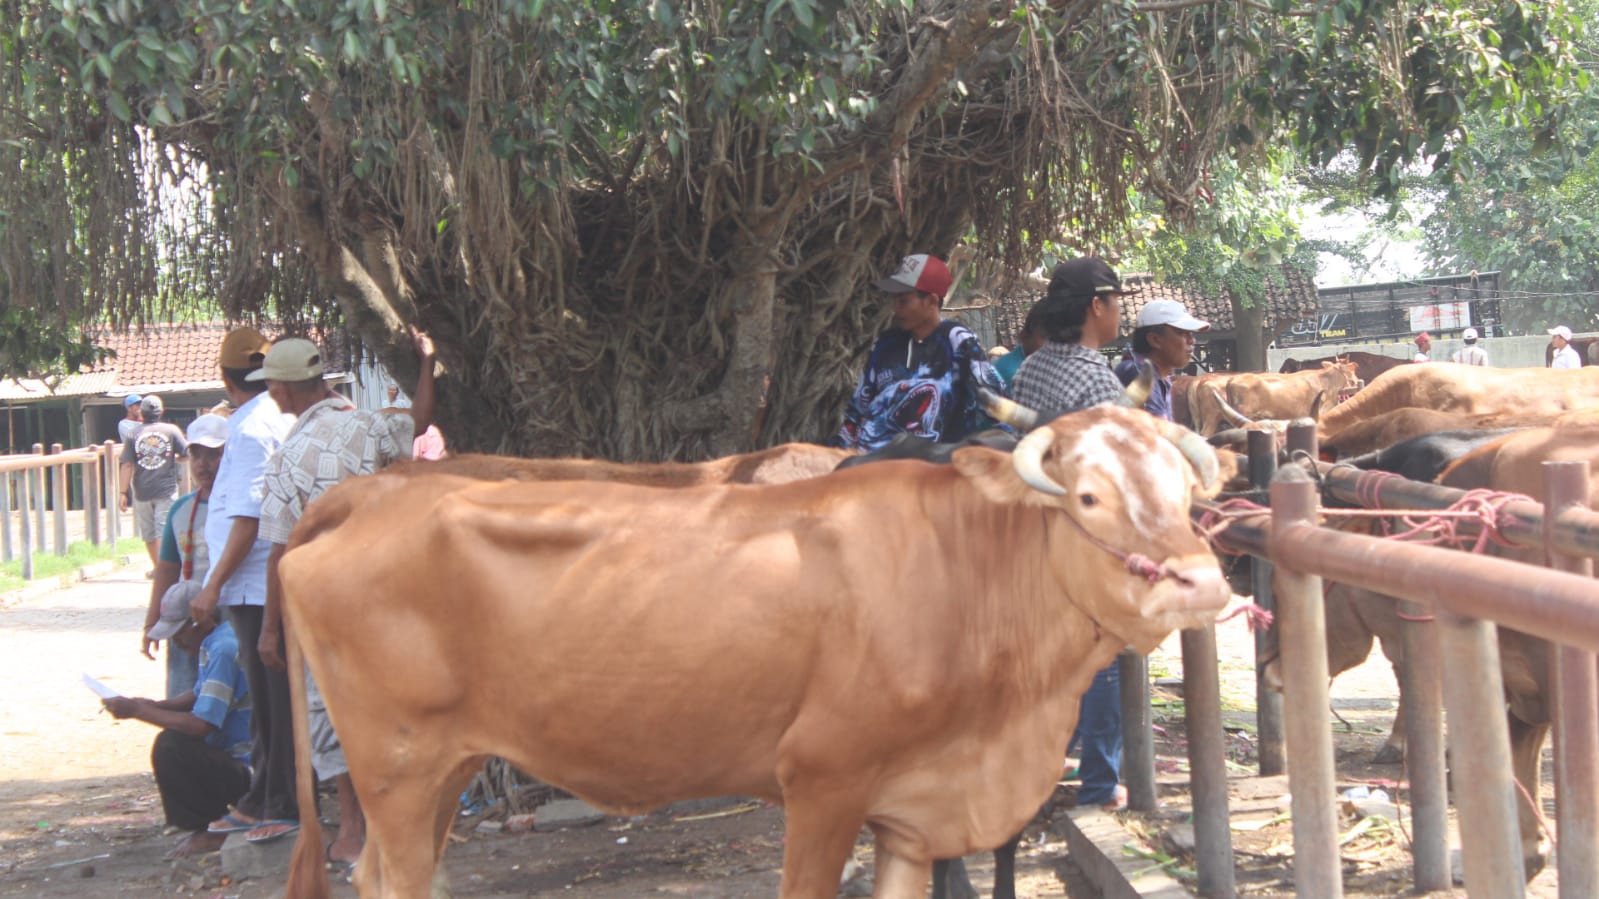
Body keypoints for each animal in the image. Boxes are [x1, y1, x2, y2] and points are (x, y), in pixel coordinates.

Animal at [278, 409, 1221, 895]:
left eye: (1186, 493)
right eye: (1087, 496)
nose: (1203, 581)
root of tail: (370, 492)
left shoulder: (913, 815)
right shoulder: (821, 780)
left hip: (442, 768)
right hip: (397, 768)